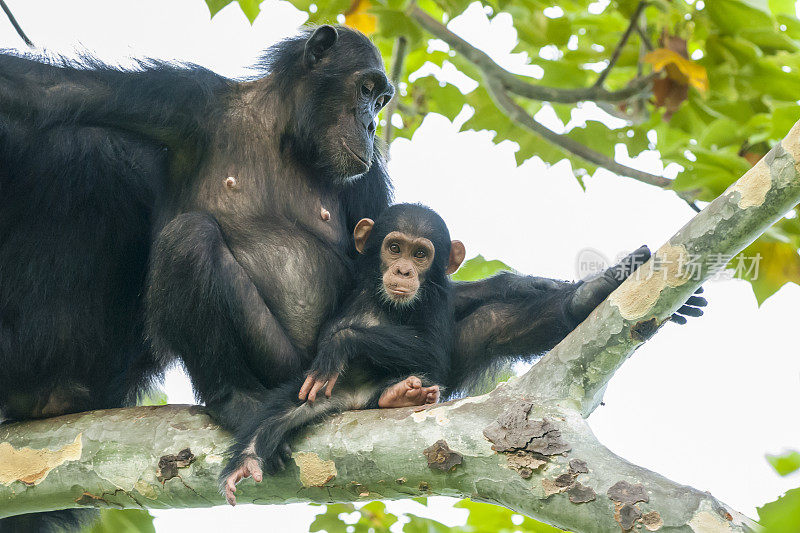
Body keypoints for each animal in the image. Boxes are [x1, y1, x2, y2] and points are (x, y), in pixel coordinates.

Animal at [222, 204, 466, 502]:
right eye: (395, 248)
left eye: (420, 254)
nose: (403, 270)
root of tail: (354, 399)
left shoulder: (440, 299)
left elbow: (433, 352)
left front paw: (340, 344)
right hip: (321, 392)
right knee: (281, 410)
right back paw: (247, 458)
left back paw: (403, 393)